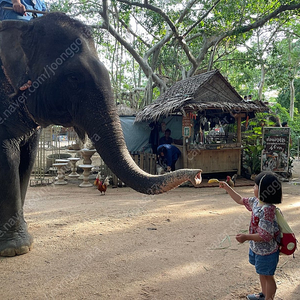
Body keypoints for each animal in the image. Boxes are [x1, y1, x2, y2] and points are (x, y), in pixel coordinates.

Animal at [0, 11, 202, 255]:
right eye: (74, 77)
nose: (199, 174)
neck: (22, 26)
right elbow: (8, 159)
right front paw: (16, 249)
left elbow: (27, 161)